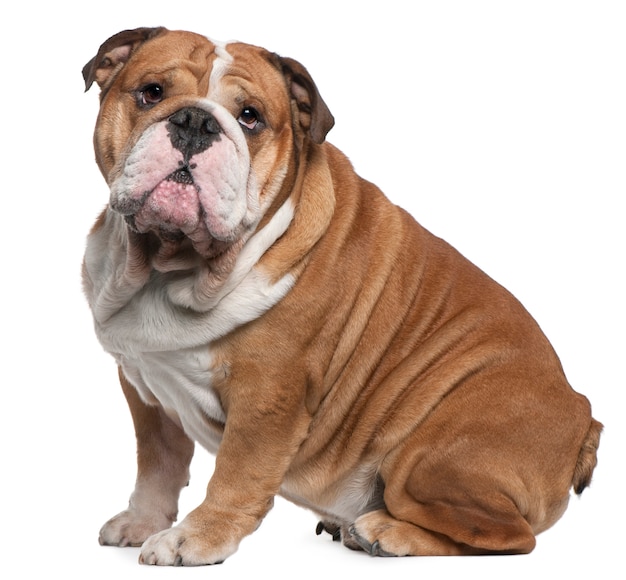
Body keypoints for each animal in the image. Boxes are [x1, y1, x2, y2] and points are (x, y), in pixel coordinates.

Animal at [81, 28, 600, 568]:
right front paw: (142, 522)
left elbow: (234, 478)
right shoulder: (145, 390)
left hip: (426, 456)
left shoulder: (266, 400)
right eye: (152, 93)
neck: (170, 266)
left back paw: (385, 532)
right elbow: (157, 464)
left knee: (508, 536)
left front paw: (193, 540)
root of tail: (585, 420)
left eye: (250, 117)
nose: (195, 121)